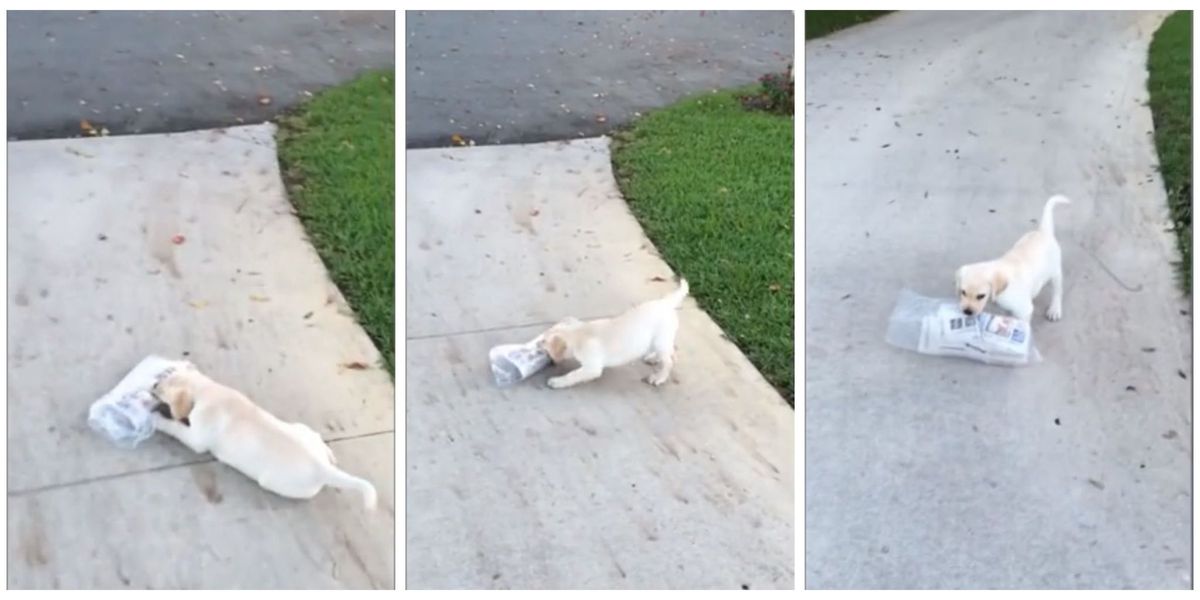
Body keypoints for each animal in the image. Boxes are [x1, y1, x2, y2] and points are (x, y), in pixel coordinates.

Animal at [150, 362, 376, 508]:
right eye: (165, 375)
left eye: (161, 390)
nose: (153, 385)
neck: (206, 389)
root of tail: (324, 469)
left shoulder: (196, 438)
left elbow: (175, 427)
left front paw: (158, 420)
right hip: (301, 429)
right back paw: (330, 453)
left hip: (275, 482)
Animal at [540, 277, 691, 388]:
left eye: (543, 341)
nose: (538, 345)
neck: (579, 334)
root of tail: (666, 303)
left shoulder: (592, 367)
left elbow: (574, 374)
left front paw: (557, 381)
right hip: (659, 339)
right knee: (670, 352)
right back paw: (653, 358)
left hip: (660, 339)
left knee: (669, 360)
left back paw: (658, 377)